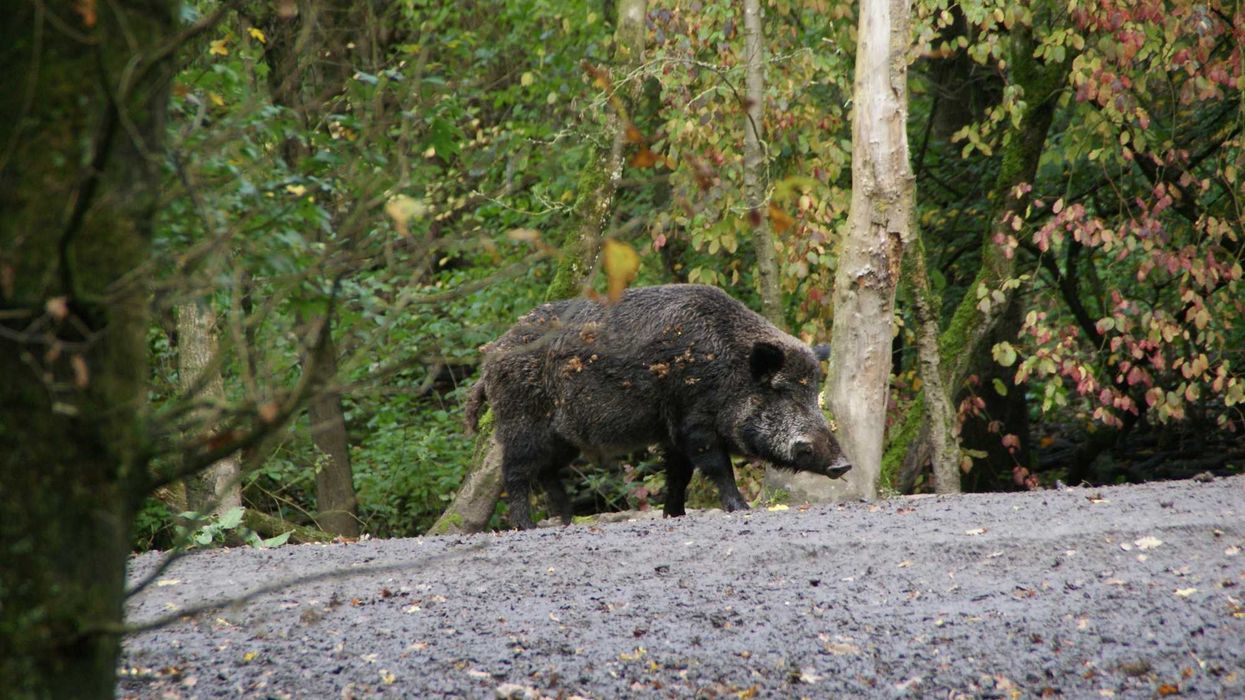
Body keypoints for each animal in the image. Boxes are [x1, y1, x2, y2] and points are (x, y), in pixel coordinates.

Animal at [465, 283, 851, 529]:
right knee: (515, 473)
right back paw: (527, 526)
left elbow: (679, 475)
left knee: (546, 472)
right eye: (782, 391)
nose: (843, 464)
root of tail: (492, 357)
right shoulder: (694, 423)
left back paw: (567, 521)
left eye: (813, 392)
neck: (728, 370)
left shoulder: (674, 433)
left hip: (563, 440)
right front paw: (740, 508)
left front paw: (675, 515)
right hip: (522, 423)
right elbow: (716, 467)